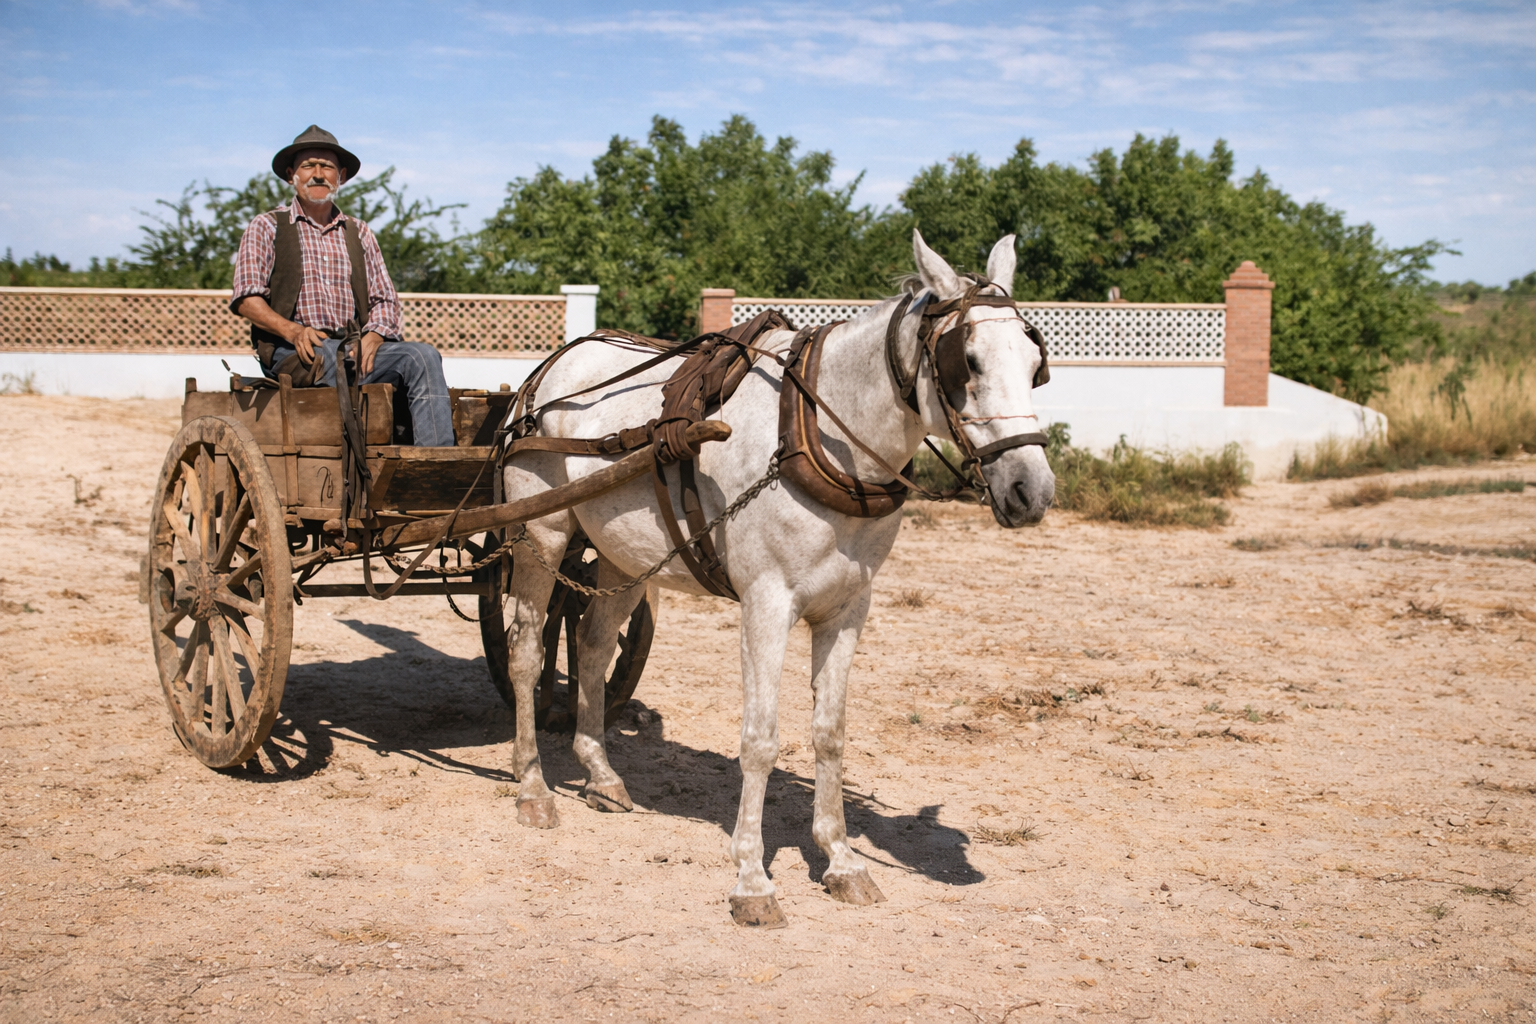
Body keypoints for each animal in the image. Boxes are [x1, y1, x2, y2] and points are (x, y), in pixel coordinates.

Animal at [496, 230, 1055, 927]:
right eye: (968, 362)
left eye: (1034, 363)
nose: (1031, 491)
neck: (816, 435)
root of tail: (547, 370)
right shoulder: (765, 605)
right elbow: (761, 740)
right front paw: (752, 880)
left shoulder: (848, 609)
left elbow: (830, 734)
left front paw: (842, 860)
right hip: (540, 536)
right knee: (525, 649)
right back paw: (532, 786)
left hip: (621, 553)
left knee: (594, 646)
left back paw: (600, 774)